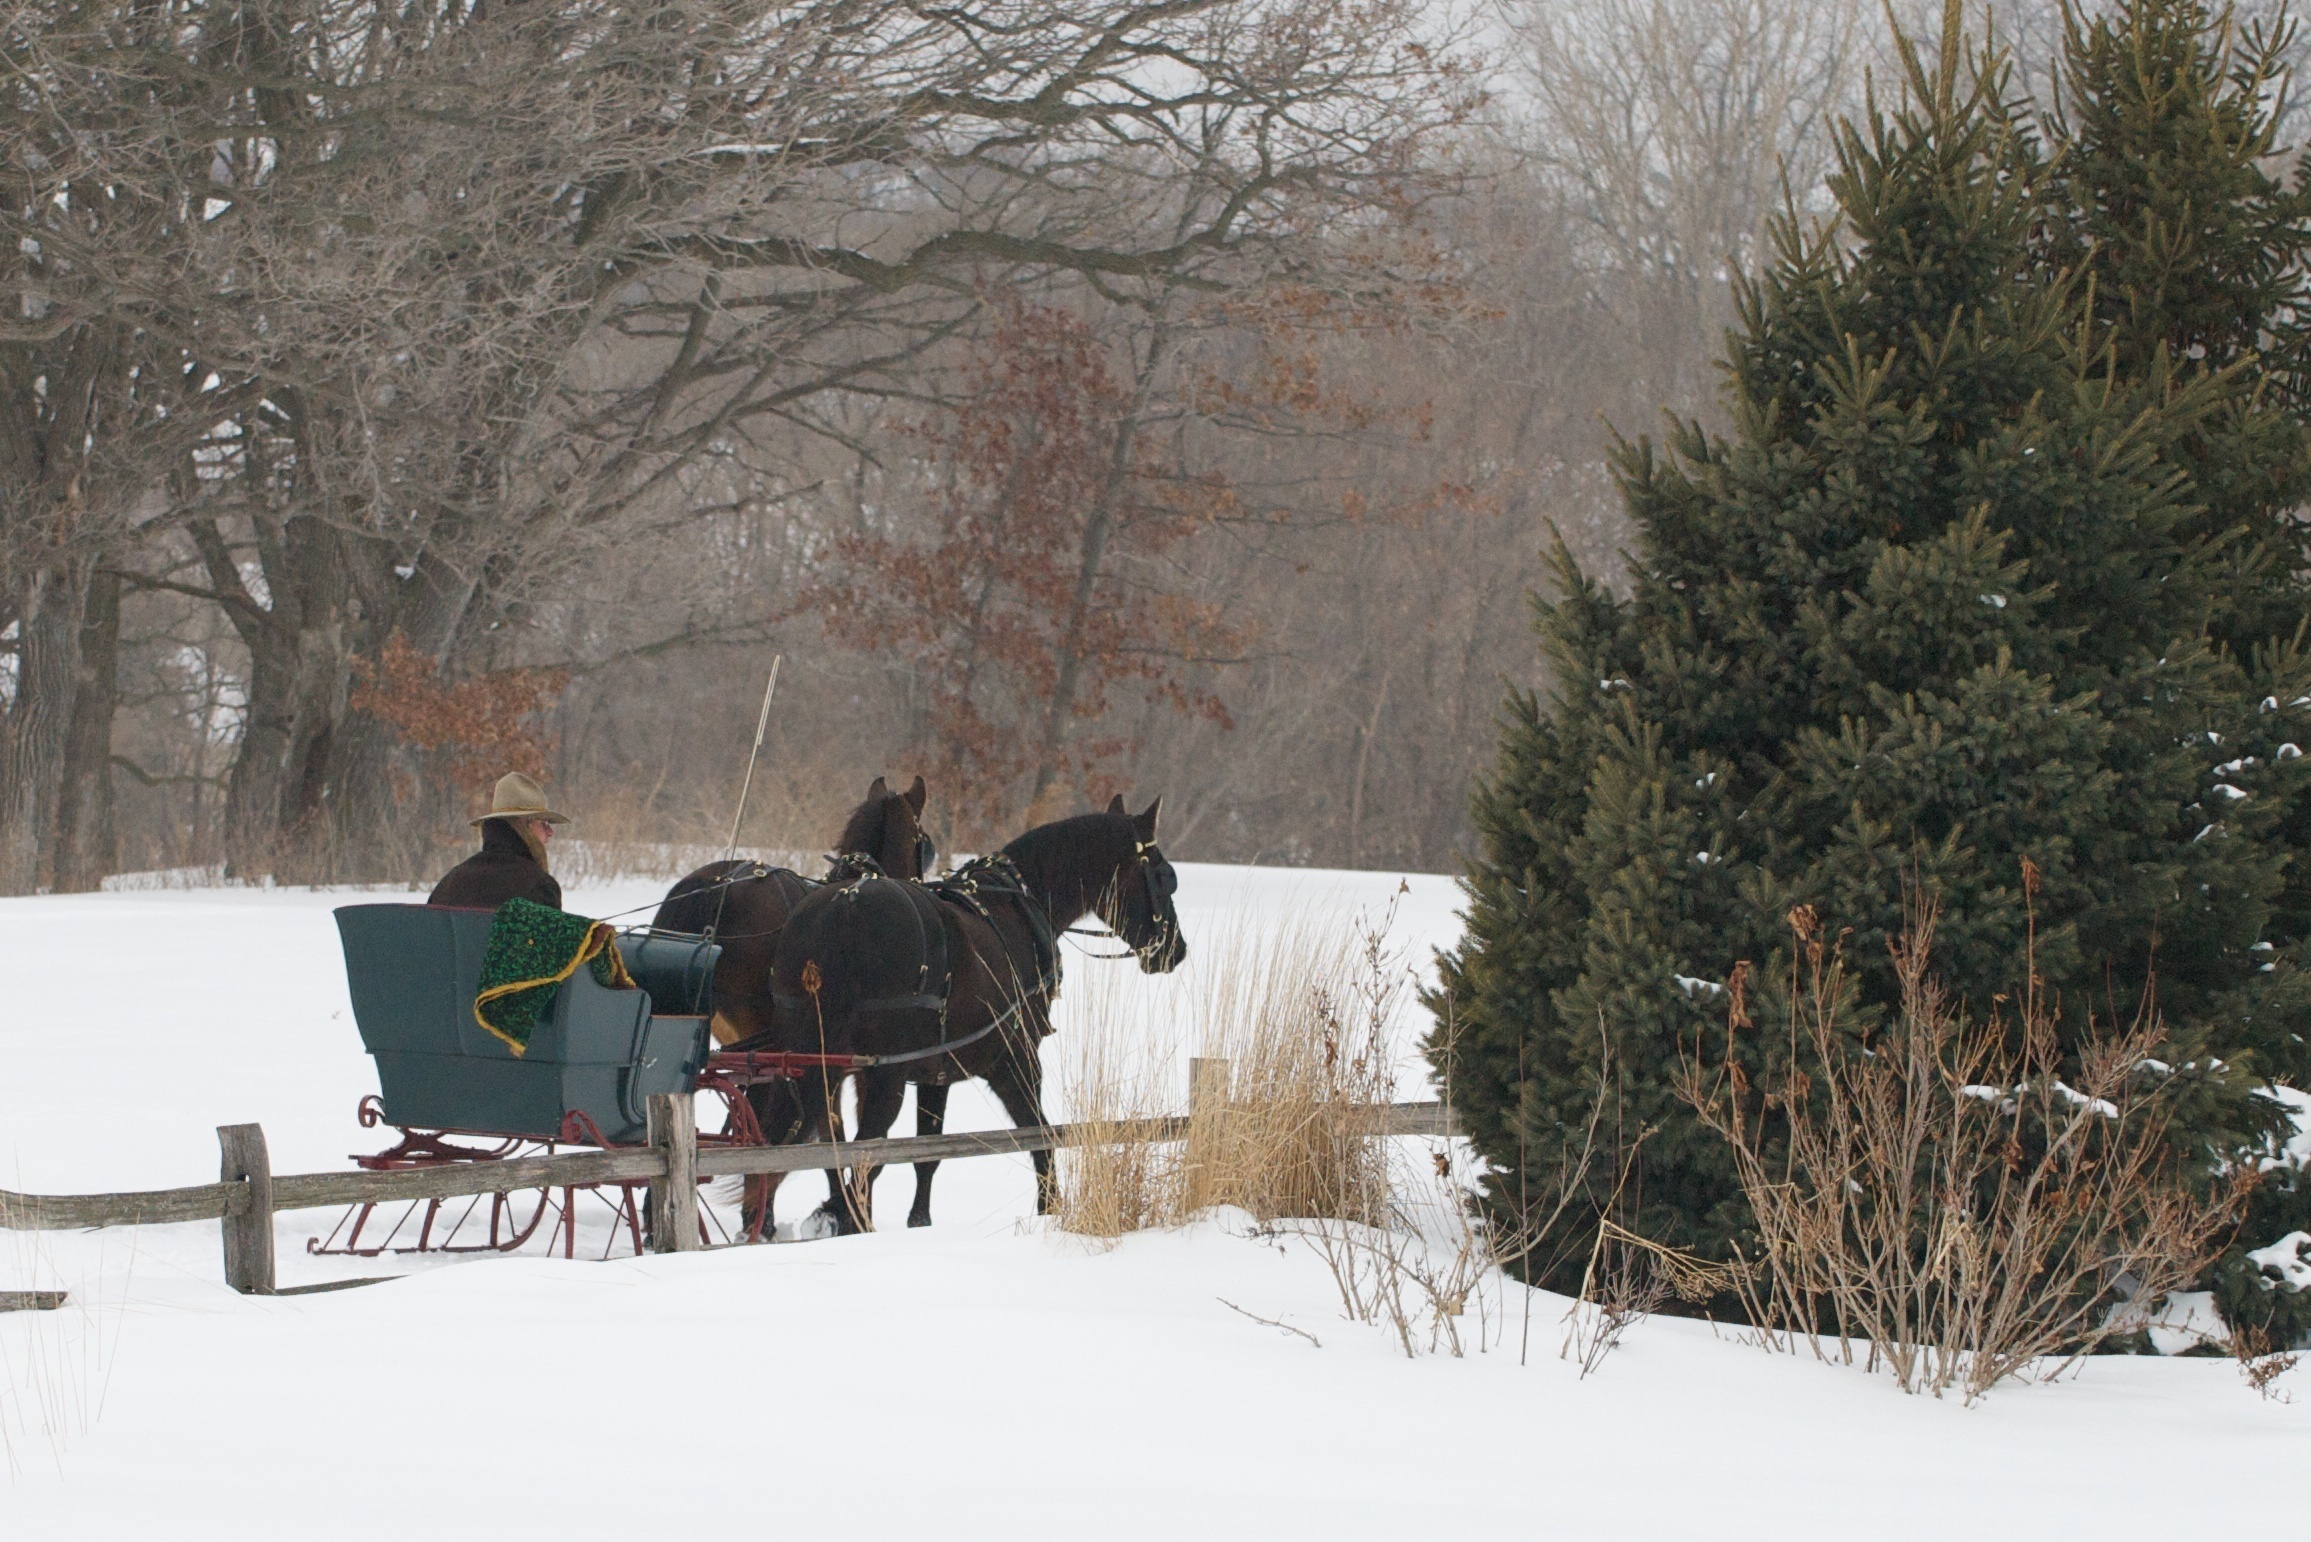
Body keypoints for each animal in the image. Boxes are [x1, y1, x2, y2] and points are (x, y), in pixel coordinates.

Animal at [769, 795, 1185, 1233]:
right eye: (1164, 876)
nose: (1176, 949)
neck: (1018, 907)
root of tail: (840, 910)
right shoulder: (1014, 1060)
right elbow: (1041, 1137)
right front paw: (1051, 1211)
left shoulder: (935, 1074)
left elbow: (927, 1154)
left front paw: (919, 1221)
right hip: (884, 1076)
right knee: (862, 1160)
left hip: (806, 1063)